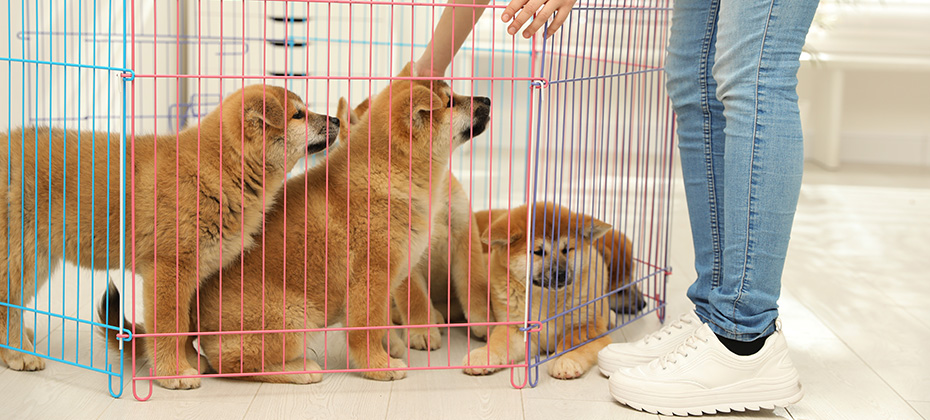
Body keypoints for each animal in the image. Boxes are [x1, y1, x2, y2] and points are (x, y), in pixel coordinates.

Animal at [0, 84, 334, 390]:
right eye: (299, 115)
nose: (337, 120)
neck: (219, 170)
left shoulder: (192, 274)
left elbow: (184, 326)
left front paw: (191, 361)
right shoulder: (168, 269)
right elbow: (170, 325)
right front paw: (173, 372)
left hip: (36, 260)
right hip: (20, 257)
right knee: (8, 304)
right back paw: (19, 354)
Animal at [460, 203, 636, 380]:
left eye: (567, 250)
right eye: (538, 252)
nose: (561, 274)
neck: (545, 299)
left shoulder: (587, 328)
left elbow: (572, 343)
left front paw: (565, 359)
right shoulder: (517, 328)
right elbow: (498, 342)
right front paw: (482, 355)